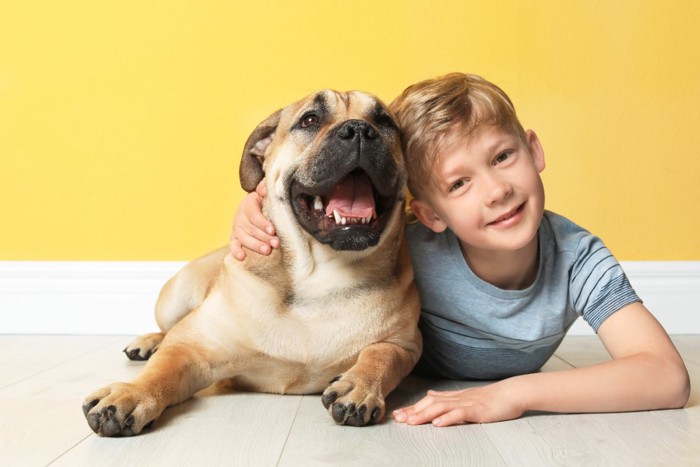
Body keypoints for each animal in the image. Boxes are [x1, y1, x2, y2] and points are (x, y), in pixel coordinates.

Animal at [82, 91, 422, 438]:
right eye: (310, 120)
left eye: (384, 122)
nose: (359, 130)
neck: (320, 274)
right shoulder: (194, 346)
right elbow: (162, 369)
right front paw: (131, 394)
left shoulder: (405, 345)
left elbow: (381, 354)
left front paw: (359, 386)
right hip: (174, 297)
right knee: (168, 330)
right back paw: (147, 342)